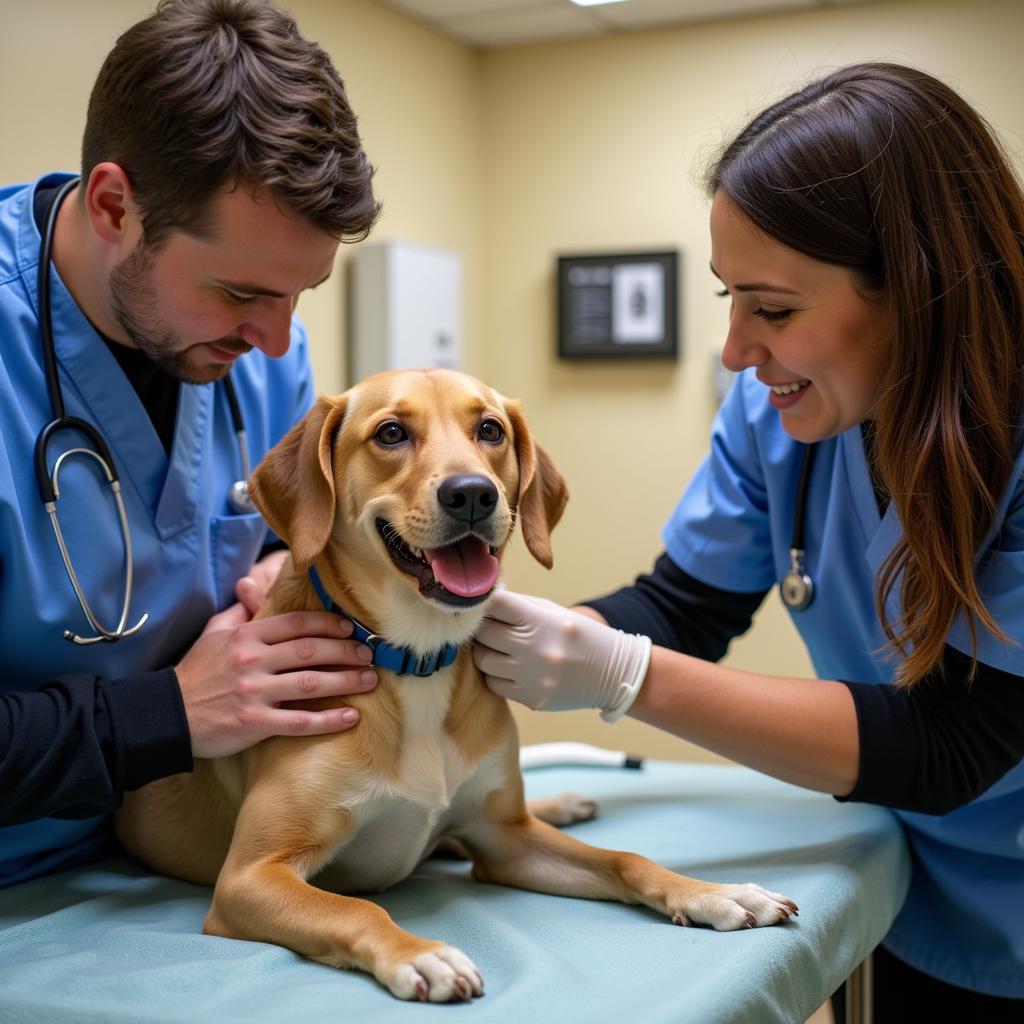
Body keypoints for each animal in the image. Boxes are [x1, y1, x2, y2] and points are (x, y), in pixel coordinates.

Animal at [116, 372, 794, 1003]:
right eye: (391, 433)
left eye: (490, 429)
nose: (472, 493)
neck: (419, 659)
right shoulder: (250, 876)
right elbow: (353, 907)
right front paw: (419, 953)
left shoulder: (506, 844)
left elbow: (626, 859)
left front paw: (714, 893)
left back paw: (563, 803)